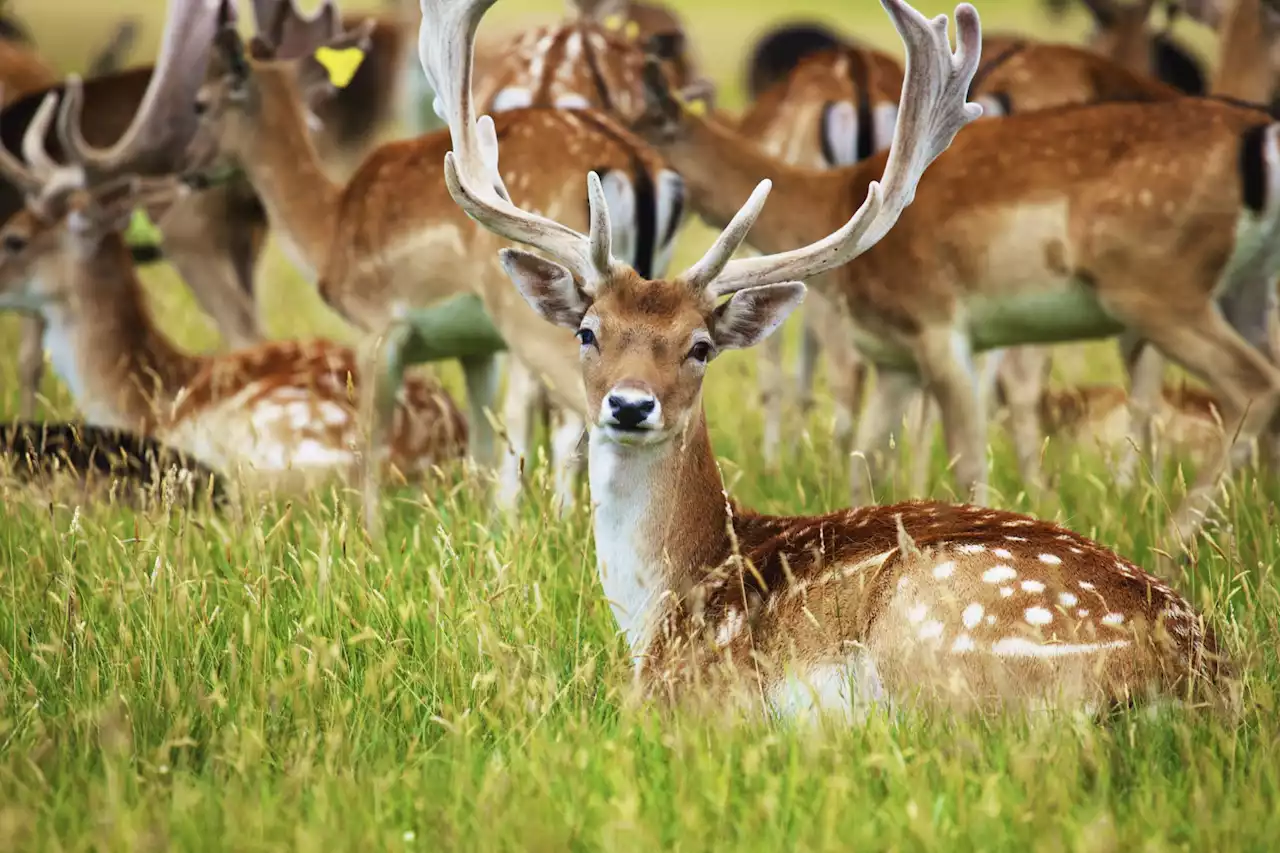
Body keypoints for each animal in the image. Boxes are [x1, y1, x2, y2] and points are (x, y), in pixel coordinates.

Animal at [186, 0, 691, 504]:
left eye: (200, 103)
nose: (185, 169)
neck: (331, 228)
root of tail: (637, 166)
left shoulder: (379, 327)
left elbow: (370, 453)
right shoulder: (476, 348)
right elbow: (480, 450)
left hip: (533, 320)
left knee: (574, 420)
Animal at [419, 0, 1228, 712]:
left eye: (700, 346)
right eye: (588, 331)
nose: (629, 404)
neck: (660, 602)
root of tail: (1196, 676)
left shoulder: (684, 694)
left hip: (935, 635)